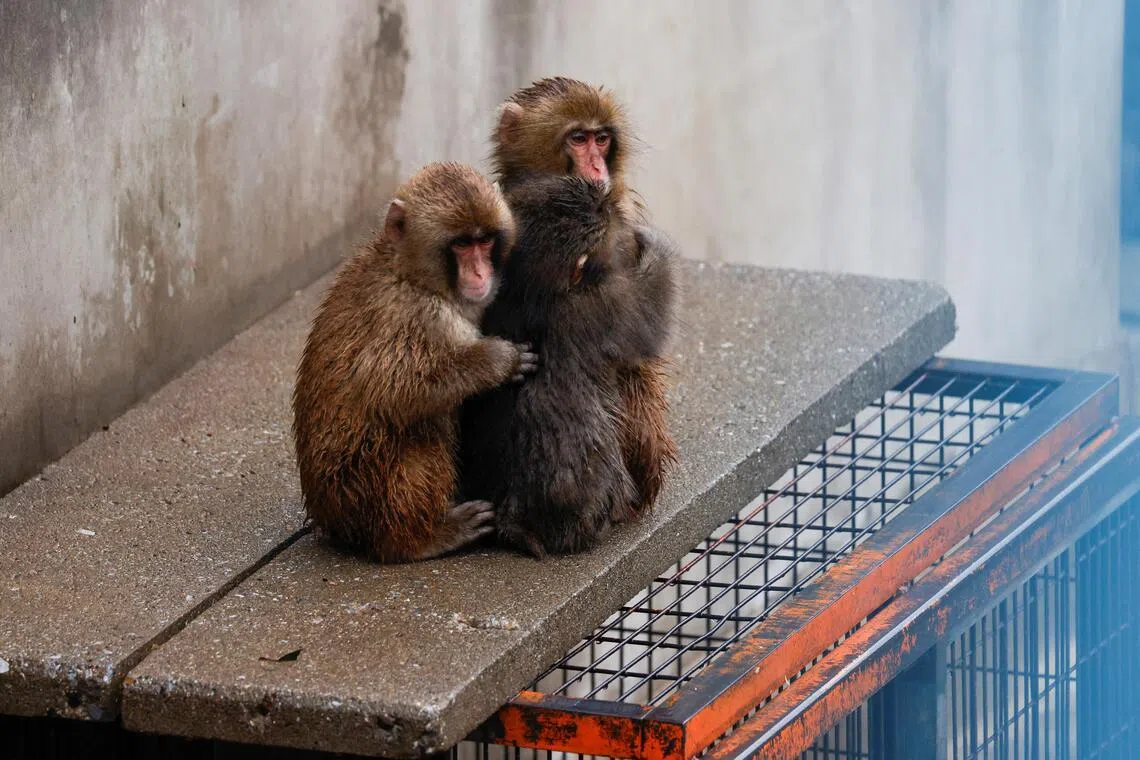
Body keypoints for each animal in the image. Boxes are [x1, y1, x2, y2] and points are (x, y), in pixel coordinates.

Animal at [291, 162, 538, 563]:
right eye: (461, 244)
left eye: (484, 241)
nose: (480, 273)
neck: (411, 275)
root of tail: (330, 522)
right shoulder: (418, 316)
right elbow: (391, 391)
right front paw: (498, 360)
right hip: (361, 495)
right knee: (422, 429)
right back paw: (418, 540)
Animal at [460, 172, 678, 557]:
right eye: (602, 215)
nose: (603, 197)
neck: (531, 293)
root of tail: (511, 515)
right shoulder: (605, 304)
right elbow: (650, 312)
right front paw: (651, 241)